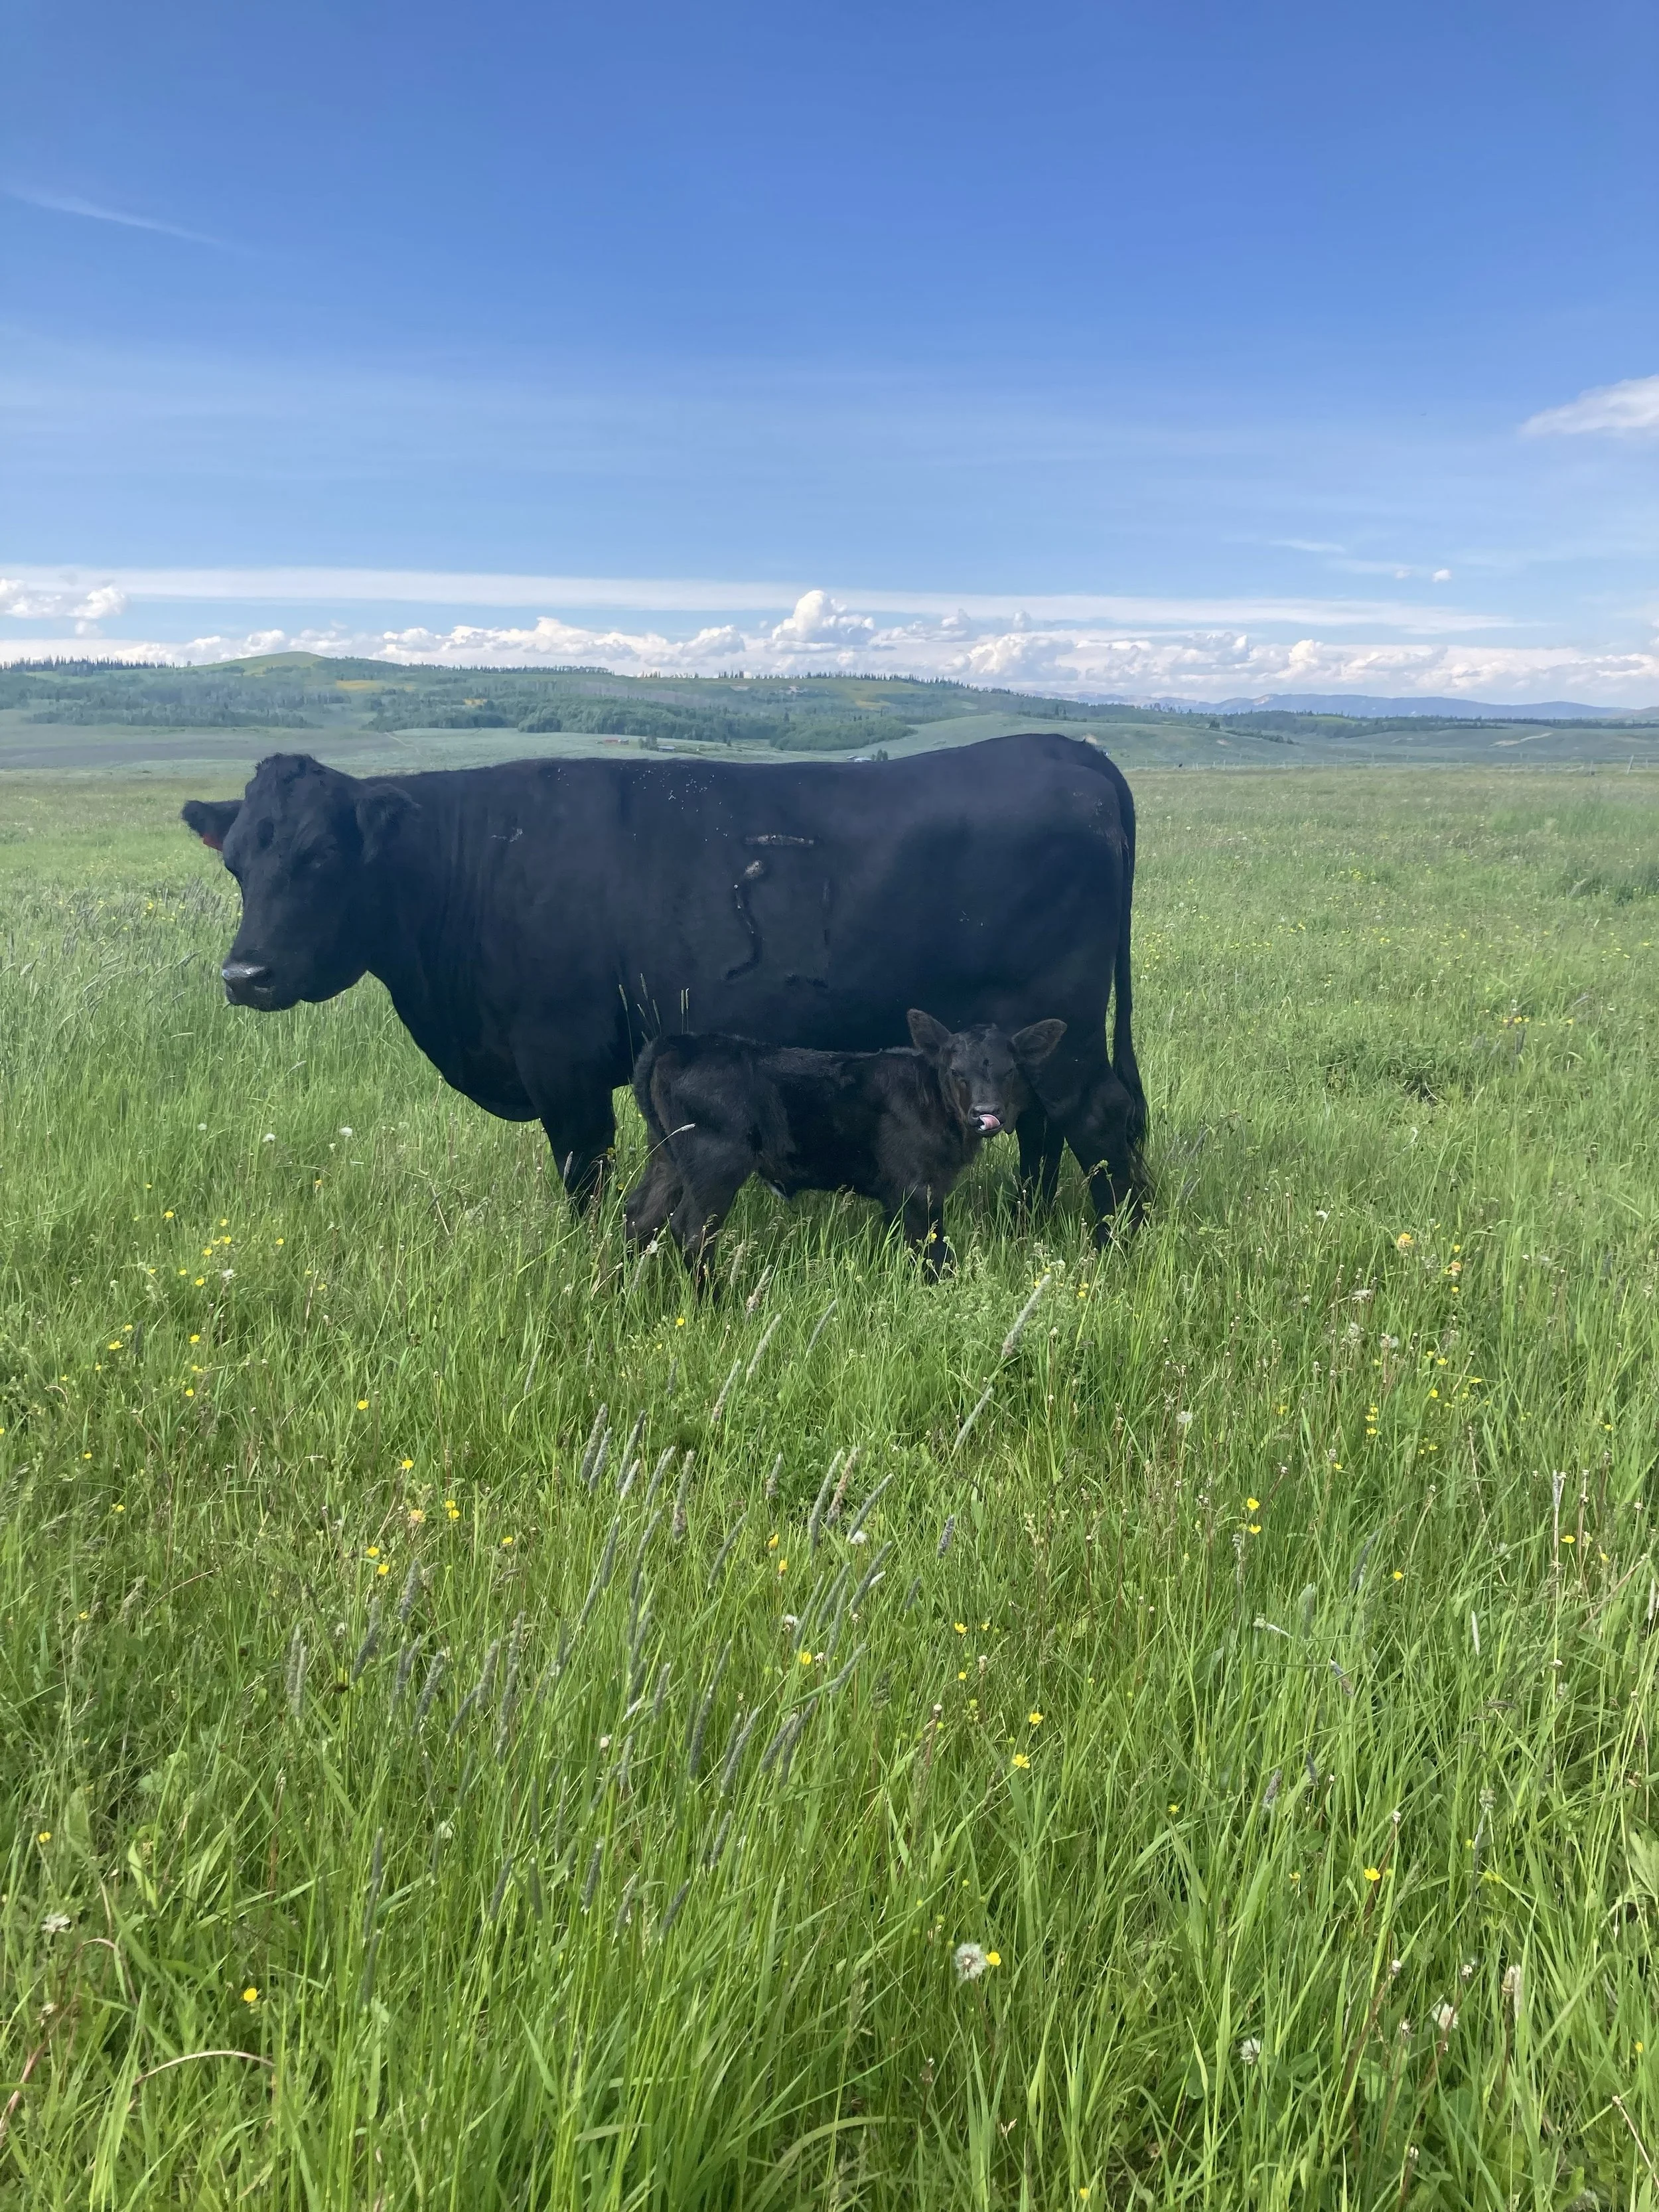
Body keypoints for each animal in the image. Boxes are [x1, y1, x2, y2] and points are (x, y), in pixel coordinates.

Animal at [181, 732, 1146, 1239]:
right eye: (236, 864)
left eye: (321, 858)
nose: (245, 974)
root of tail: (1053, 744)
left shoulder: (560, 1058)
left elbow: (582, 1168)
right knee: (1043, 1127)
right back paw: (1031, 1224)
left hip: (1057, 1016)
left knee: (1100, 1119)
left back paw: (1117, 1243)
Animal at [625, 1011, 1068, 1281]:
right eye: (956, 1071)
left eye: (1010, 1071)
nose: (985, 1113)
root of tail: (674, 1043)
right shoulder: (916, 1189)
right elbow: (931, 1248)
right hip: (715, 1162)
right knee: (692, 1231)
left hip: (665, 1155)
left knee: (641, 1215)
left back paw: (626, 1287)